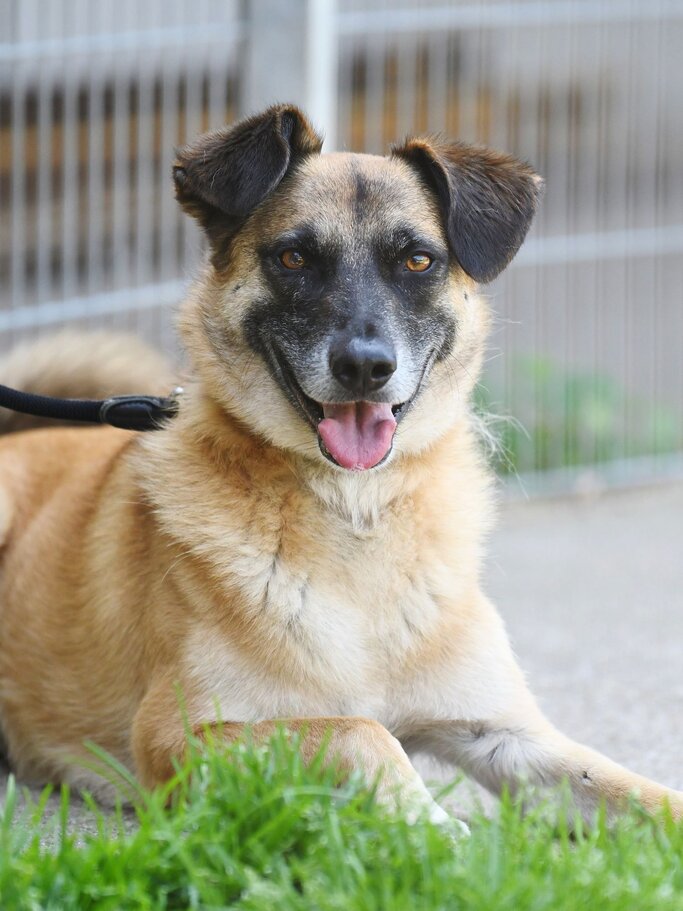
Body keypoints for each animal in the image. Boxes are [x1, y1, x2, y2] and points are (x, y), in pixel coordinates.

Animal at [0, 101, 680, 828]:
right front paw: (434, 828)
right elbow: (361, 731)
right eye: (294, 256)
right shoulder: (176, 737)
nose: (364, 367)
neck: (359, 515)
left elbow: (638, 791)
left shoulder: (511, 735)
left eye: (417, 260)